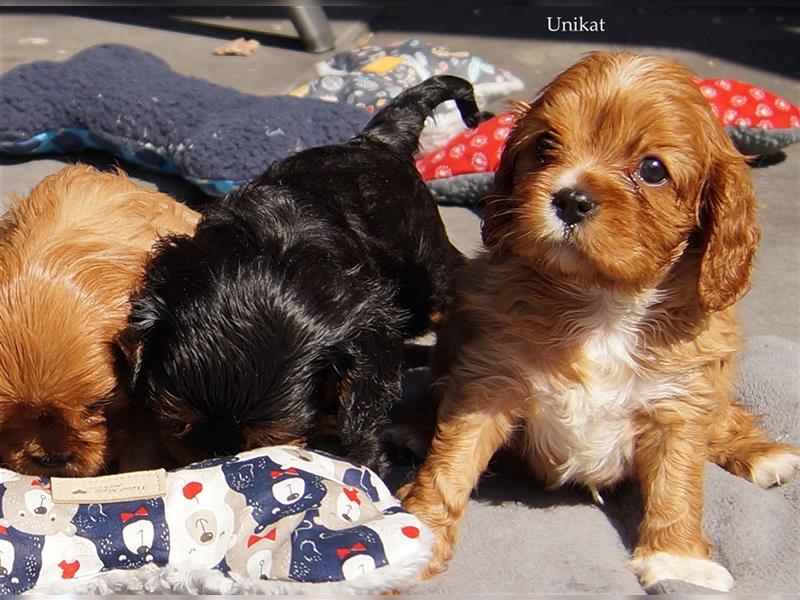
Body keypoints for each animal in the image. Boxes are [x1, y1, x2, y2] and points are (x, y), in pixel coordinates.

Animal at [122, 76, 478, 478]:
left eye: (270, 443)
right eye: (176, 424)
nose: (216, 464)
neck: (270, 256)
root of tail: (375, 141)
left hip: (425, 268)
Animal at [400, 52, 800, 592]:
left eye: (652, 169)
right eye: (545, 146)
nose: (570, 198)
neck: (603, 302)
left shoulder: (680, 400)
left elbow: (679, 481)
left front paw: (678, 558)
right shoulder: (489, 377)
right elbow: (452, 460)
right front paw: (416, 533)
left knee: (725, 416)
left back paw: (761, 452)